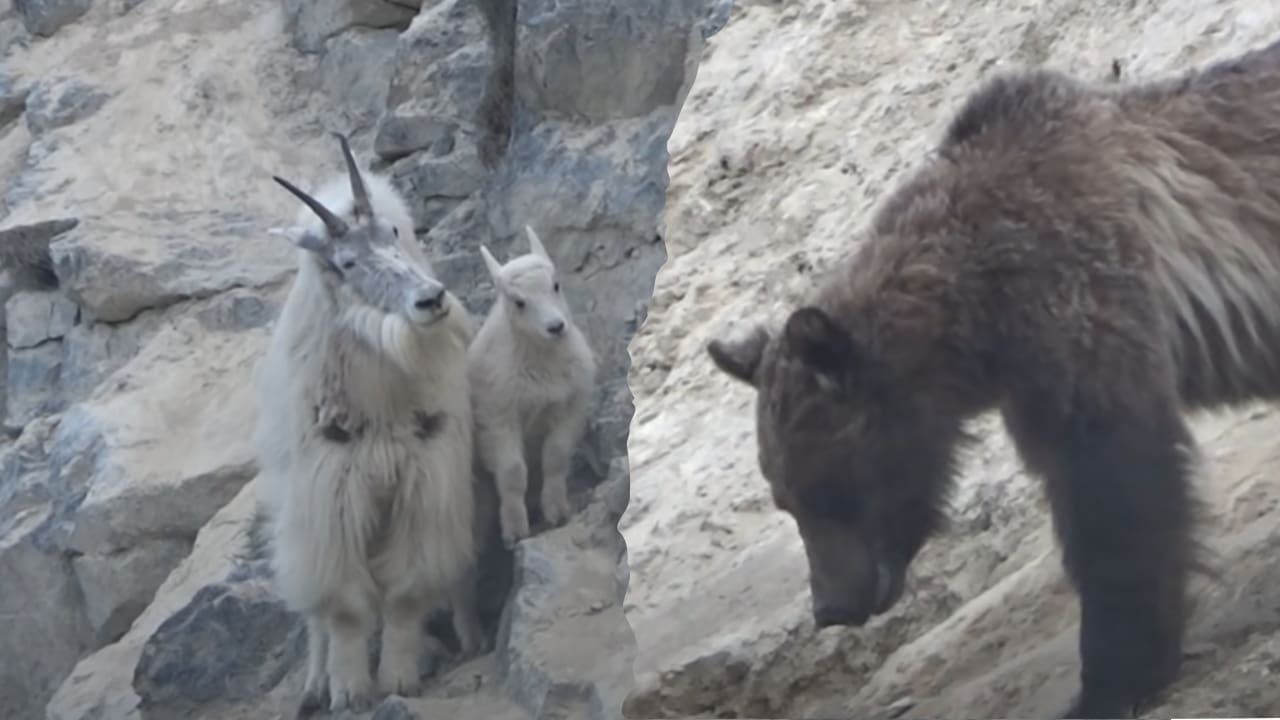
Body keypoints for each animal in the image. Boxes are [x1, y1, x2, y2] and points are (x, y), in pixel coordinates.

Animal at [252, 133, 485, 715]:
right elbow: (343, 609)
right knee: (312, 614)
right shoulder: (330, 496)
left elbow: (405, 592)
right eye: (348, 261)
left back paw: (468, 636)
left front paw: (399, 677)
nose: (432, 300)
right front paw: (350, 689)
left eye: (394, 233)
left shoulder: (427, 480)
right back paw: (314, 684)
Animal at [467, 225, 597, 548]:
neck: (542, 361)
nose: (556, 327)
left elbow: (556, 456)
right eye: (519, 301)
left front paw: (557, 511)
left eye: (556, 285)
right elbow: (513, 472)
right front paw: (515, 530)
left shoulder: (571, 406)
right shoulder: (498, 416)